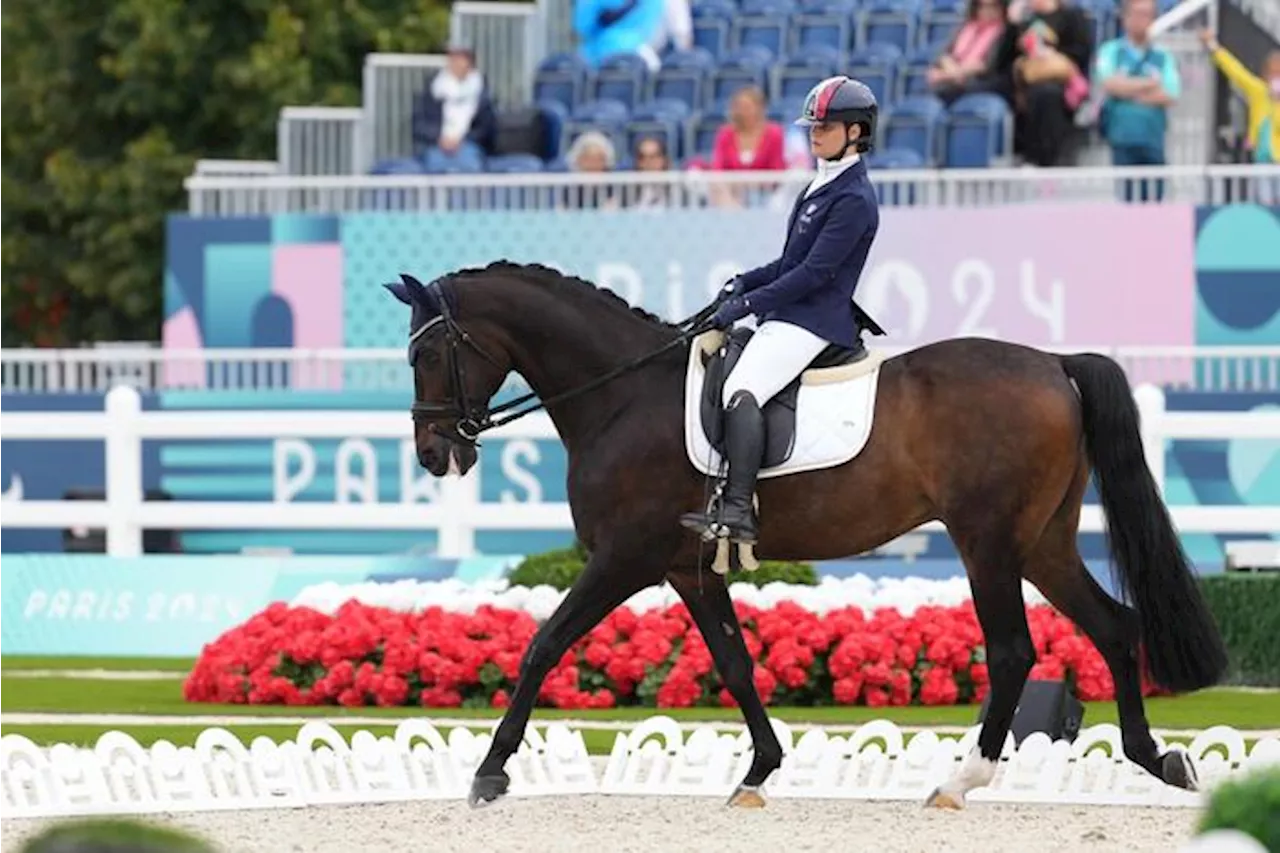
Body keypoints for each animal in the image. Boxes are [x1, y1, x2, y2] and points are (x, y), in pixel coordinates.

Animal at [381, 262, 1228, 809]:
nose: (435, 452)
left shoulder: (624, 557)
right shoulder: (688, 567)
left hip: (988, 540)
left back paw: (961, 779)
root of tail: (1054, 363)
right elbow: (734, 661)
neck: (622, 394)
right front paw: (759, 770)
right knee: (1115, 626)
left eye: (426, 352)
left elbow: (543, 643)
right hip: (1043, 540)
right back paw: (1159, 759)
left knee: (1015, 649)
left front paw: (490, 771)